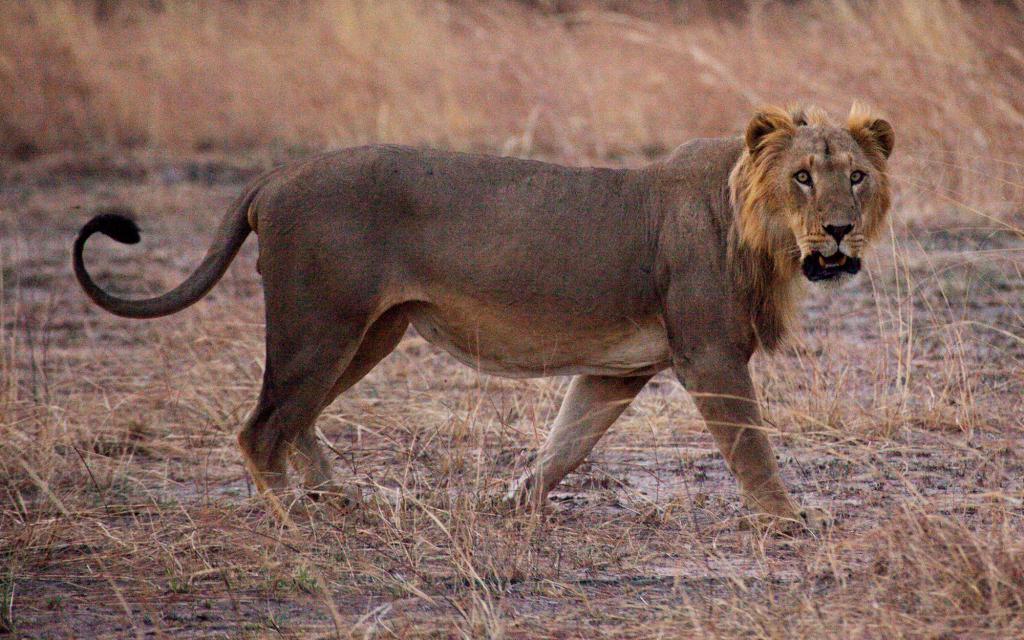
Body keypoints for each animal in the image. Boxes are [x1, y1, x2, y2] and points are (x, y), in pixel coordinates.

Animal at [72, 102, 892, 528]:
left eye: (856, 176)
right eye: (802, 177)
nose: (839, 231)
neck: (763, 236)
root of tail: (277, 173)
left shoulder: (617, 370)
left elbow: (568, 442)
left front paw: (513, 502)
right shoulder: (710, 355)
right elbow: (751, 445)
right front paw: (788, 519)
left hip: (369, 331)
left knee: (295, 418)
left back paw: (343, 495)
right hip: (321, 323)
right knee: (261, 428)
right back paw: (296, 519)